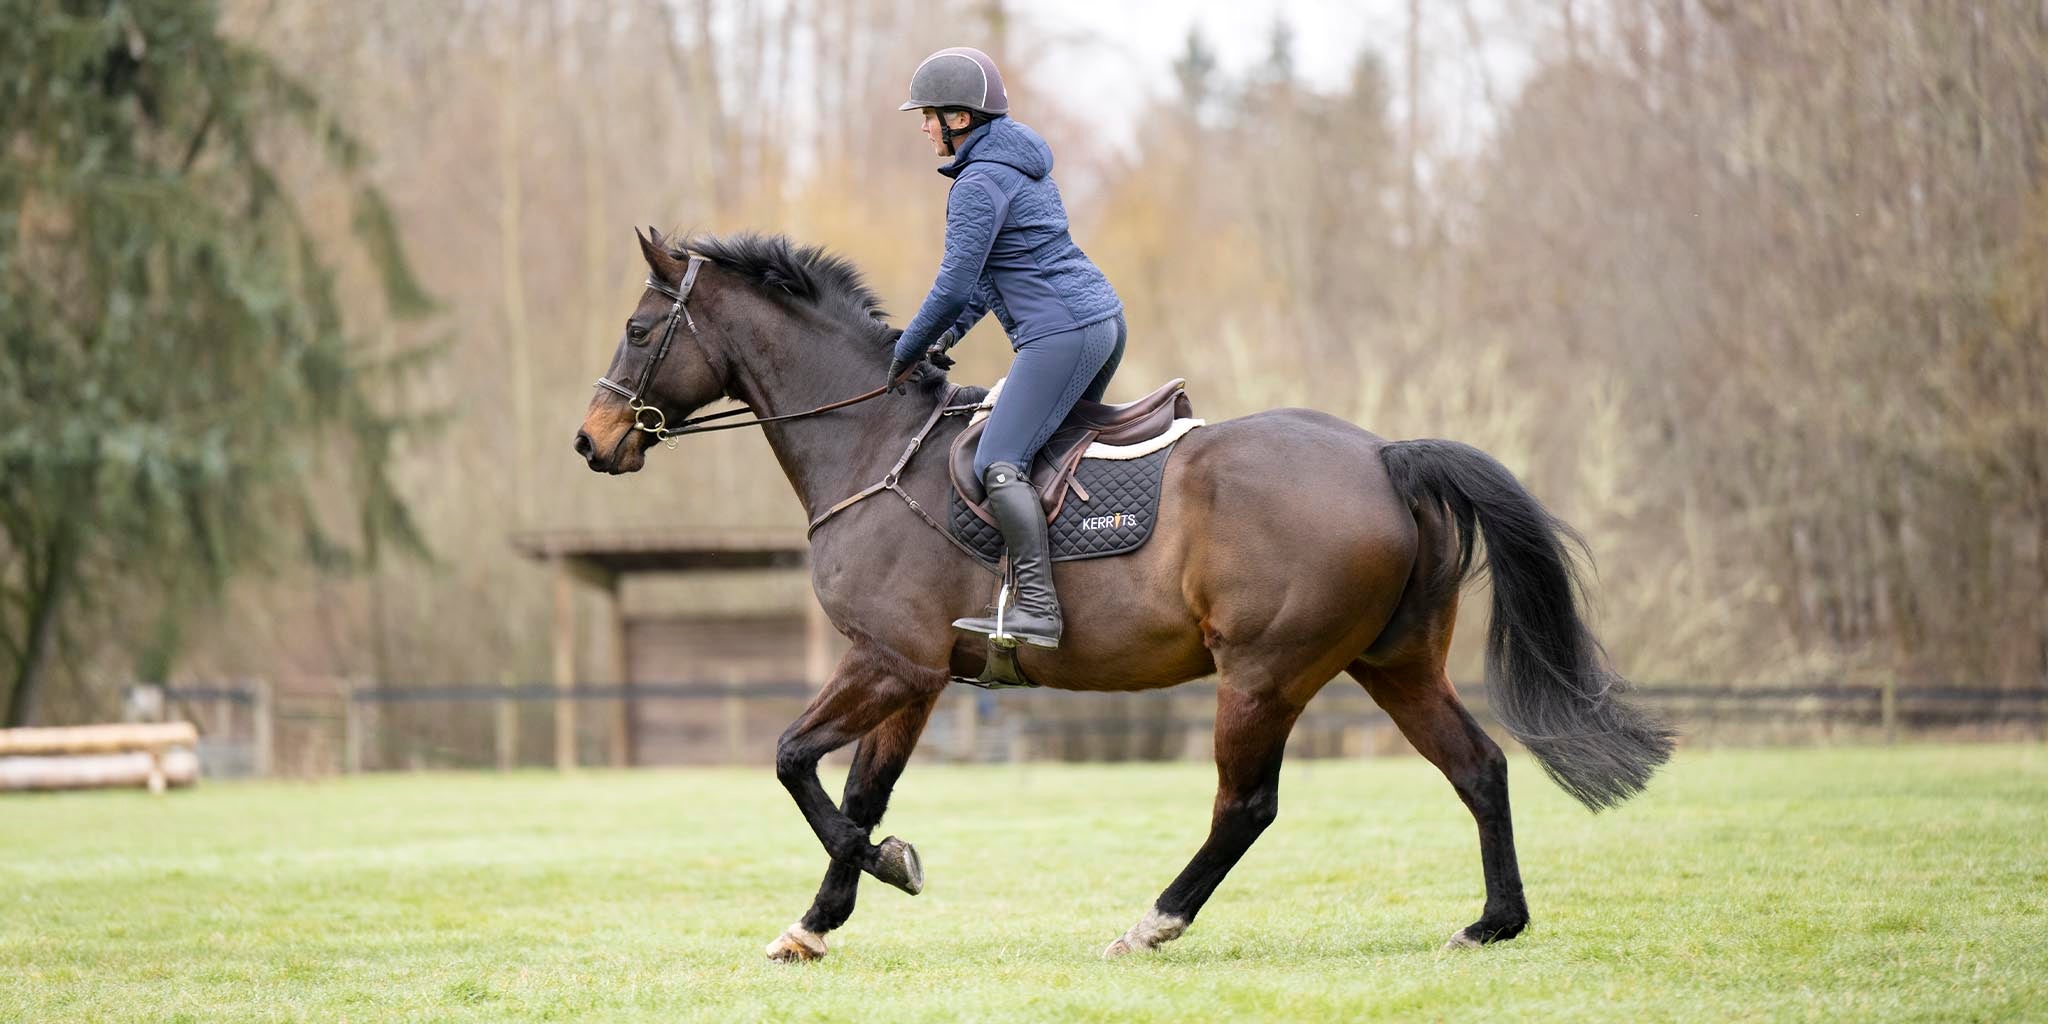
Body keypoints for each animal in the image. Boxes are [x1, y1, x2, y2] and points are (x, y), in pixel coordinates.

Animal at [569, 226, 1671, 958]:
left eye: (637, 329)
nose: (592, 441)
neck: (872, 443)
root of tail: (1383, 456)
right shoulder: (915, 677)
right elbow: (858, 787)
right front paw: (818, 919)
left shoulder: (888, 661)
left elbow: (795, 763)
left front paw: (886, 866)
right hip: (1392, 663)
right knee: (1477, 766)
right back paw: (1493, 922)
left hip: (1264, 674)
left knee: (1246, 805)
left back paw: (1156, 919)